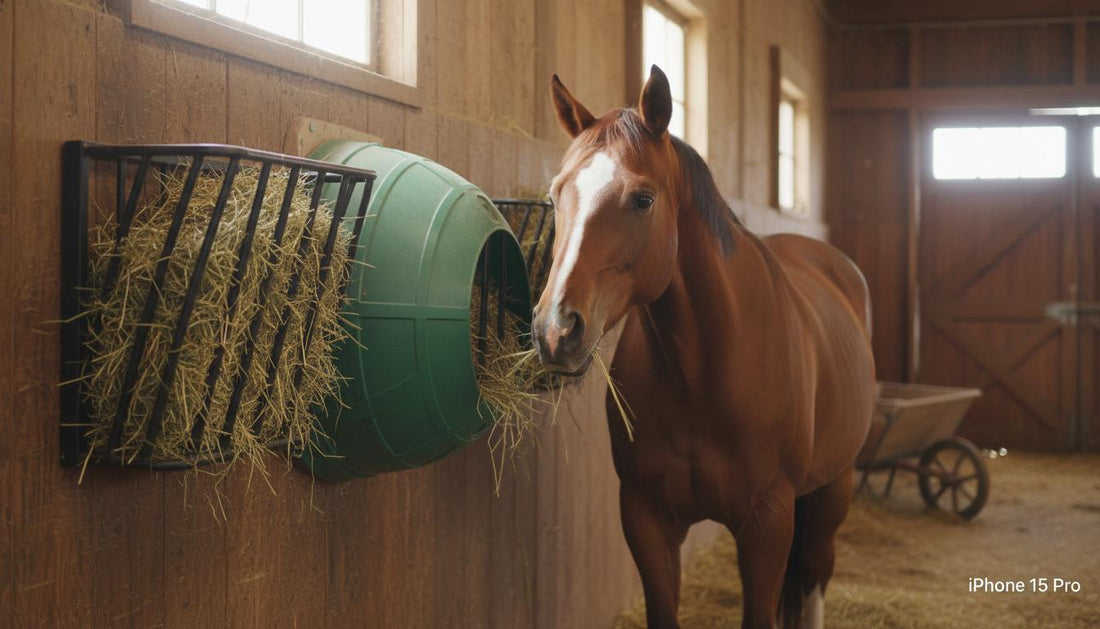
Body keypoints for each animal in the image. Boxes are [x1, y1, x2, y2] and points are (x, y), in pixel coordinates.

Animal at [532, 65, 876, 629]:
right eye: (557, 193)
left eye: (643, 199)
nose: (555, 330)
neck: (701, 374)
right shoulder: (646, 519)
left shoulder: (767, 523)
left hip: (834, 487)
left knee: (813, 577)